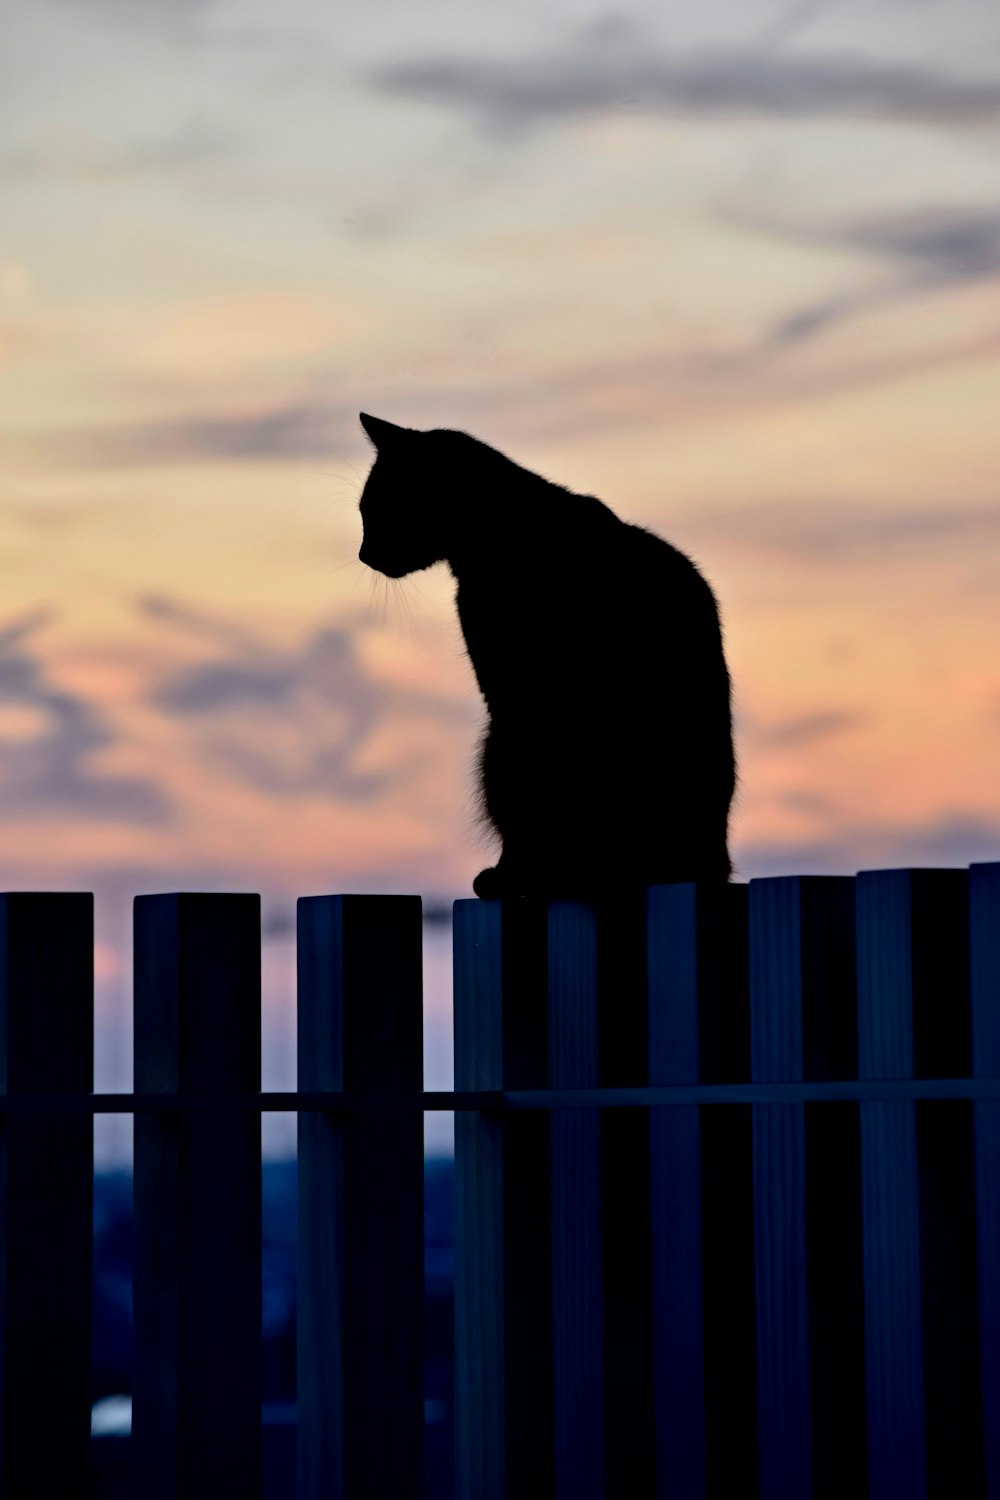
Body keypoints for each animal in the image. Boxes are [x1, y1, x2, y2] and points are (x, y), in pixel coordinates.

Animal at [359, 411, 734, 894]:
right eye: (364, 512)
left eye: (379, 510)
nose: (363, 553)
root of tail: (711, 867)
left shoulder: (511, 693)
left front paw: (513, 869)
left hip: (507, 739)